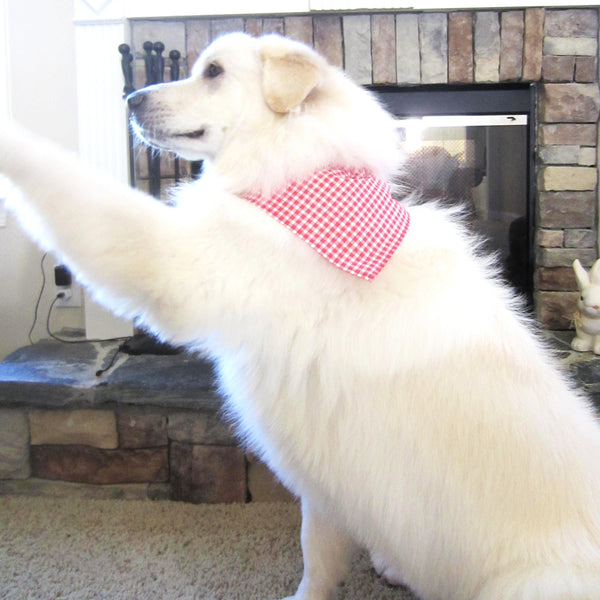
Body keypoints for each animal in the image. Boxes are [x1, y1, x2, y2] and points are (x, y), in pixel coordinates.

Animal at [3, 31, 600, 600]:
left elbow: (74, 187)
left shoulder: (171, 262)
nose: (131, 98)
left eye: (214, 72)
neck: (297, 174)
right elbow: (320, 550)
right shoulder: (329, 481)